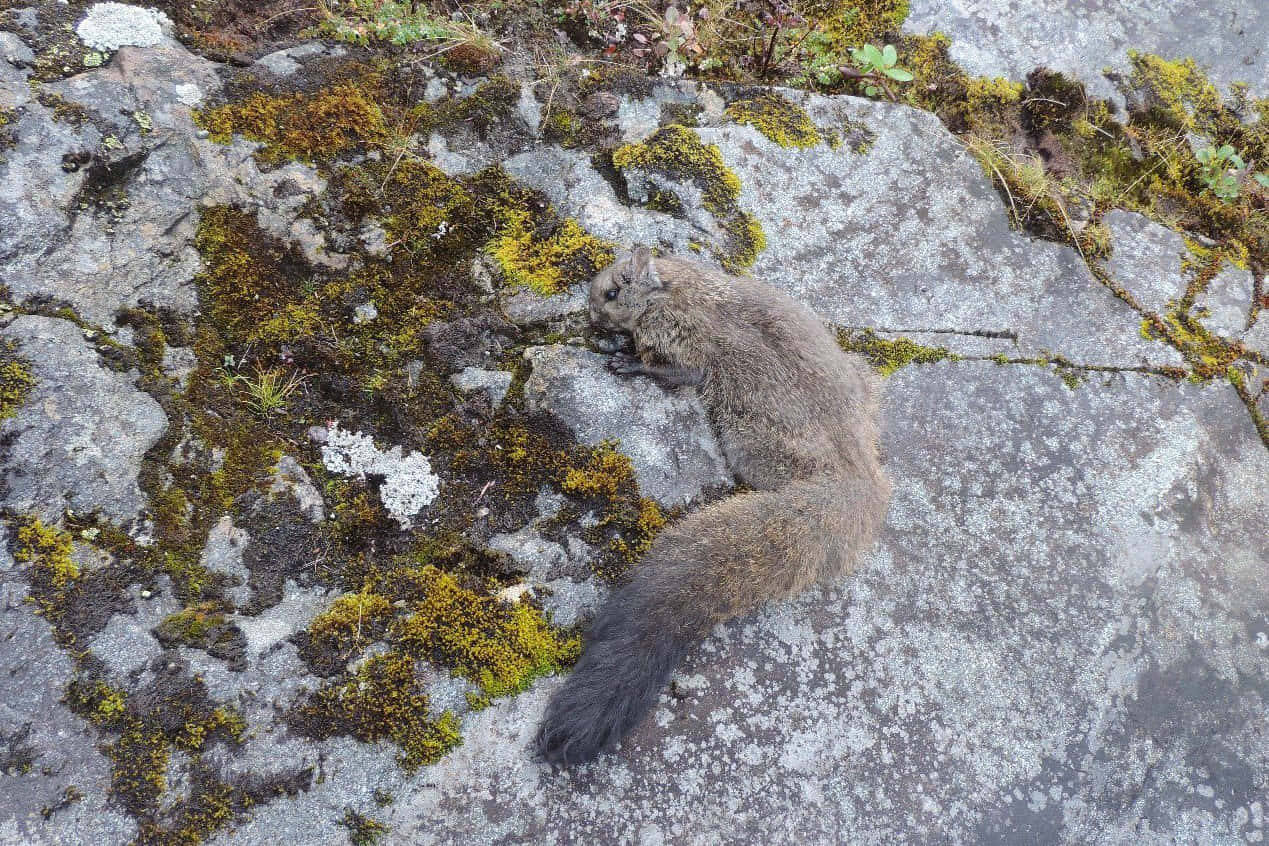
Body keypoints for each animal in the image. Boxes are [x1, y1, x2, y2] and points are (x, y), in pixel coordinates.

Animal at [535, 247, 891, 766]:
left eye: (613, 291)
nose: (590, 316)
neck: (678, 287)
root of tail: (860, 479)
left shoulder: (683, 338)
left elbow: (682, 370)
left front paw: (626, 361)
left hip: (748, 437)